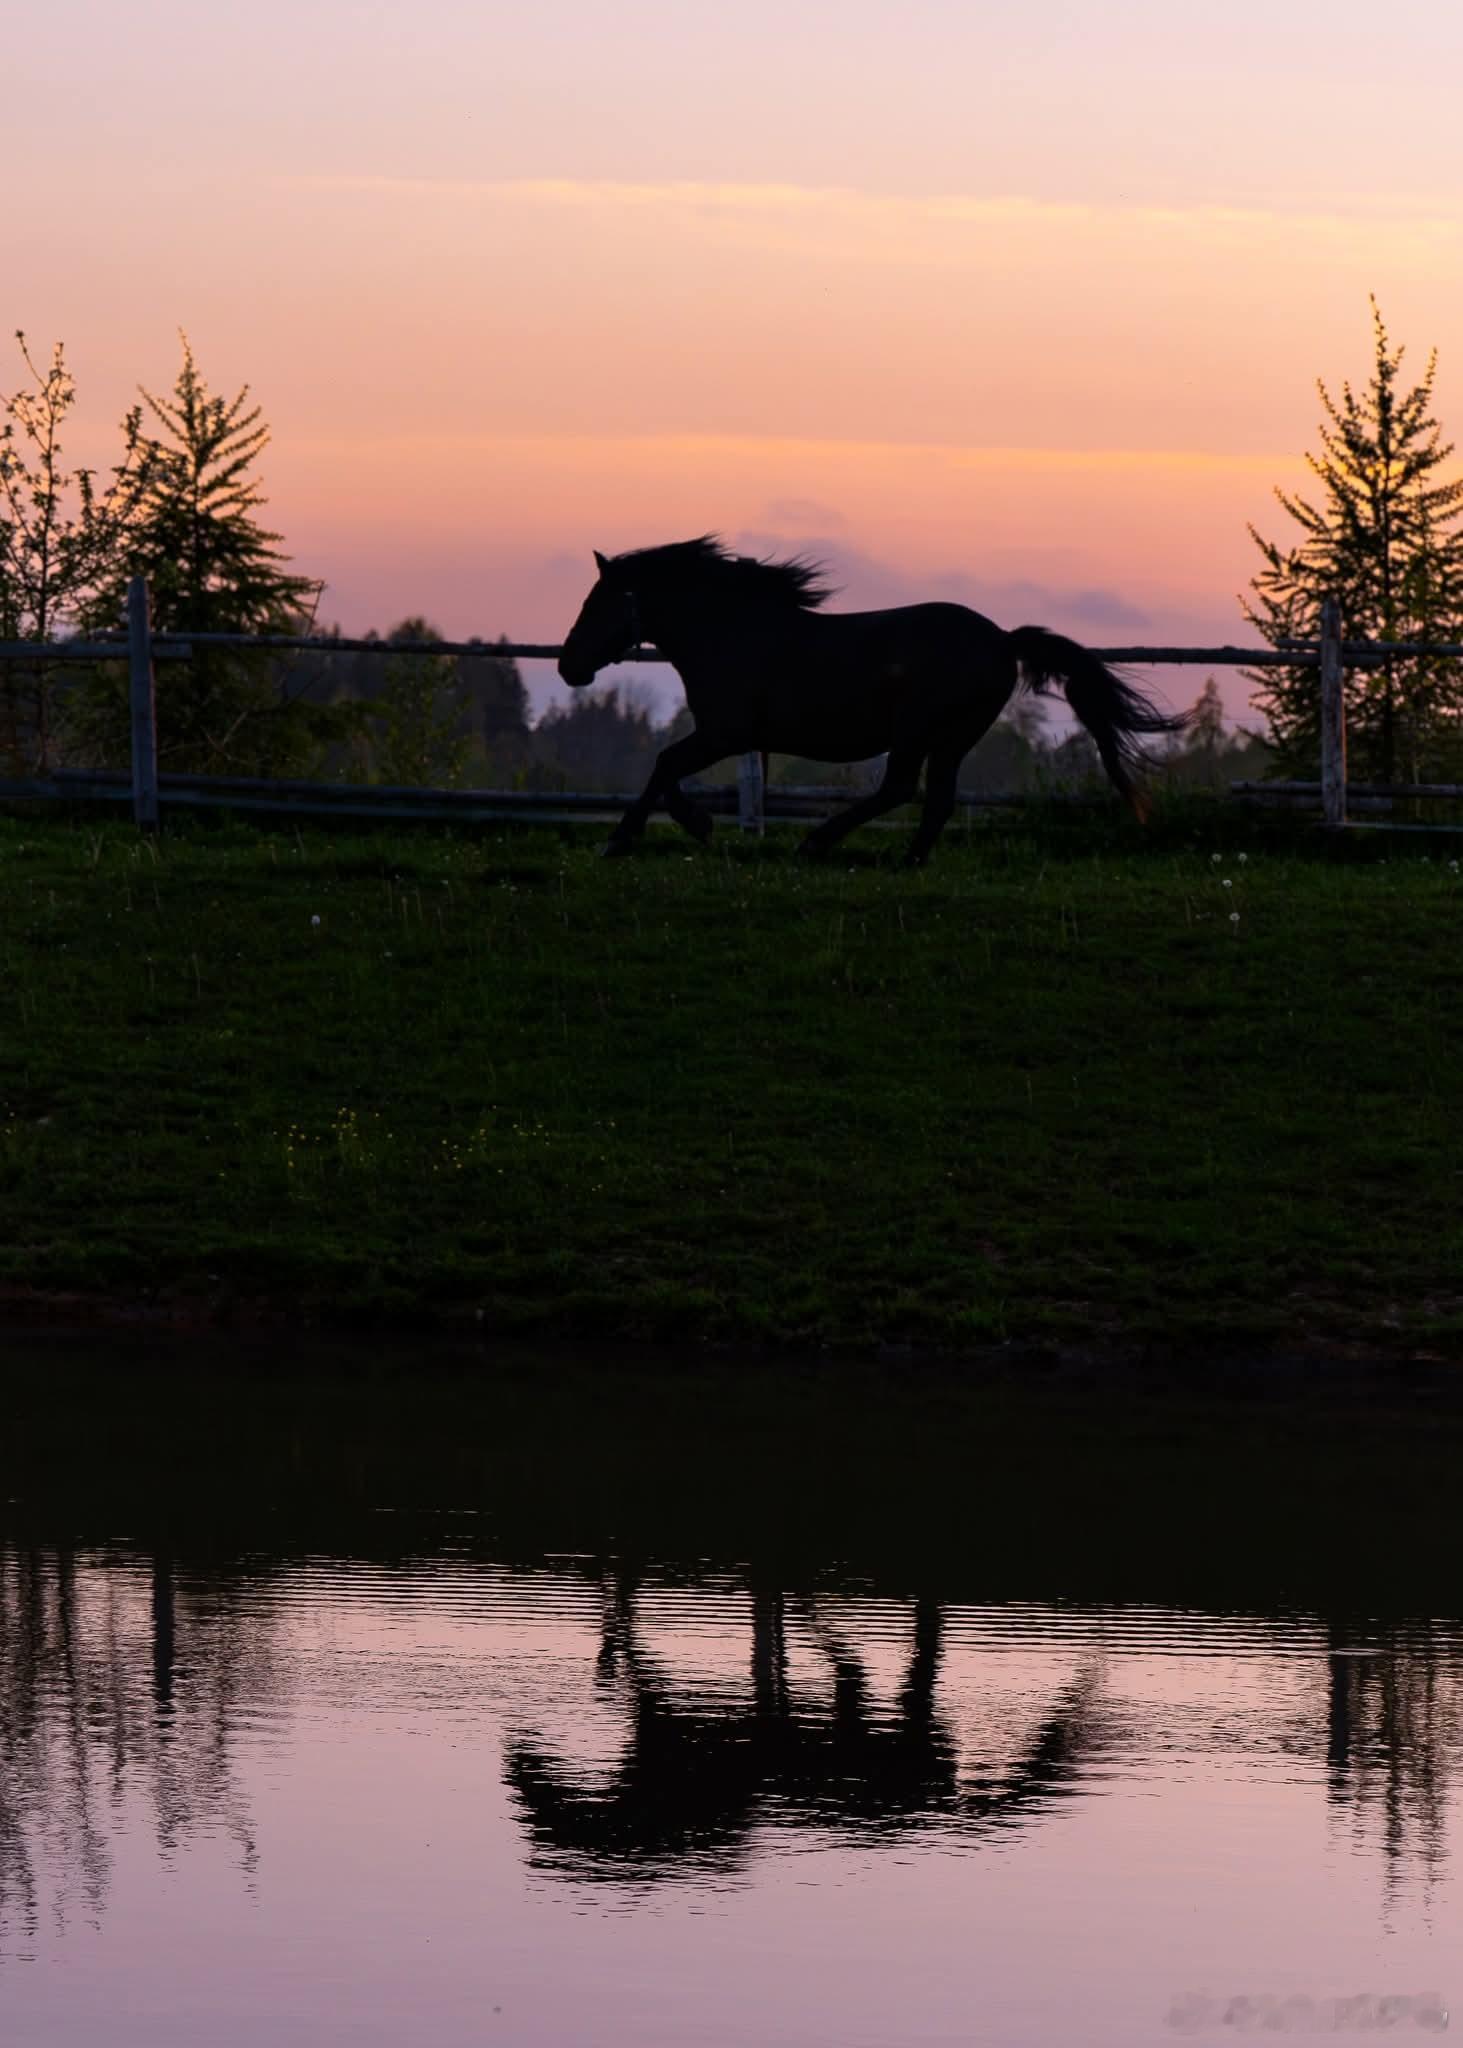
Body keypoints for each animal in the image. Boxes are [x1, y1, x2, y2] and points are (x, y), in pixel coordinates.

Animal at [557, 536, 1189, 862]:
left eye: (596, 604)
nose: (567, 666)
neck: (731, 631)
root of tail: (1002, 640)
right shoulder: (726, 737)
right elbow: (667, 768)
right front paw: (694, 825)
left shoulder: (725, 733)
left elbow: (664, 764)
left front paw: (626, 837)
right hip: (951, 739)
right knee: (934, 801)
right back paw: (906, 859)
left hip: (918, 731)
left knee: (901, 789)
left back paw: (818, 841)